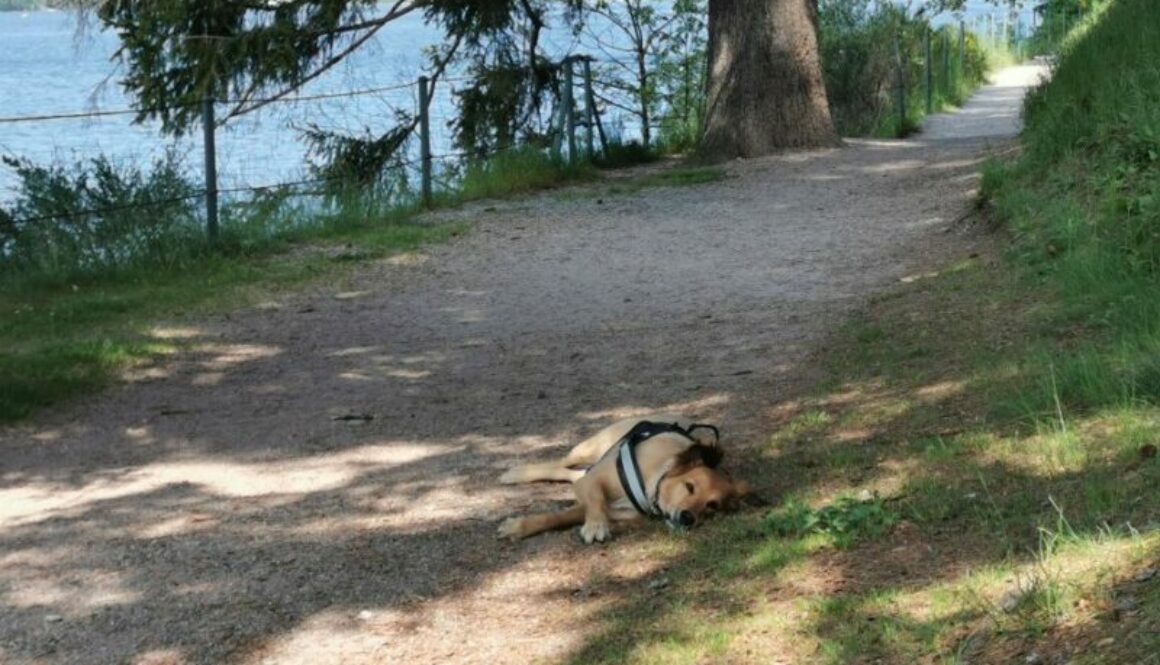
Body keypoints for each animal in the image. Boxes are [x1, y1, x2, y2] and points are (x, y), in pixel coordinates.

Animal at [491, 413, 747, 540]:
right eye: (689, 486)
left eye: (712, 506)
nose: (688, 518)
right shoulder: (594, 482)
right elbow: (593, 500)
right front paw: (596, 526)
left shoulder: (613, 508)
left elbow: (562, 516)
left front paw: (519, 527)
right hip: (591, 448)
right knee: (562, 463)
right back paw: (517, 473)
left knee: (571, 474)